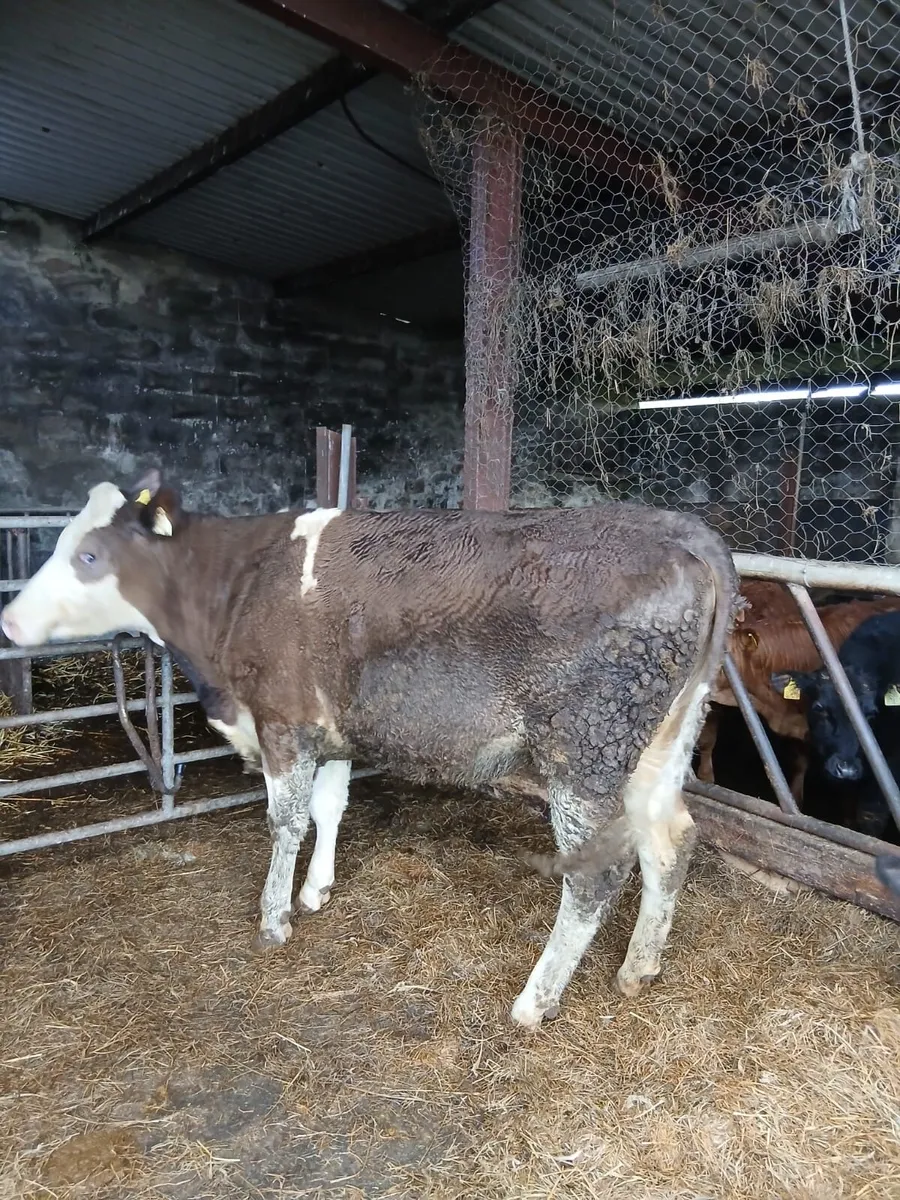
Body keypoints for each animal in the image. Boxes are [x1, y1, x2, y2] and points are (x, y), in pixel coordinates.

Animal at [0, 469, 737, 1029]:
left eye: (88, 557)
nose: (9, 619)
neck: (235, 587)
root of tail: (677, 531)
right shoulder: (332, 729)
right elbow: (329, 808)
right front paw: (316, 890)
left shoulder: (282, 720)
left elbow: (285, 821)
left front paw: (273, 918)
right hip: (658, 745)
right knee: (671, 839)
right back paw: (638, 968)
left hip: (584, 747)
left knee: (596, 872)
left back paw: (535, 999)